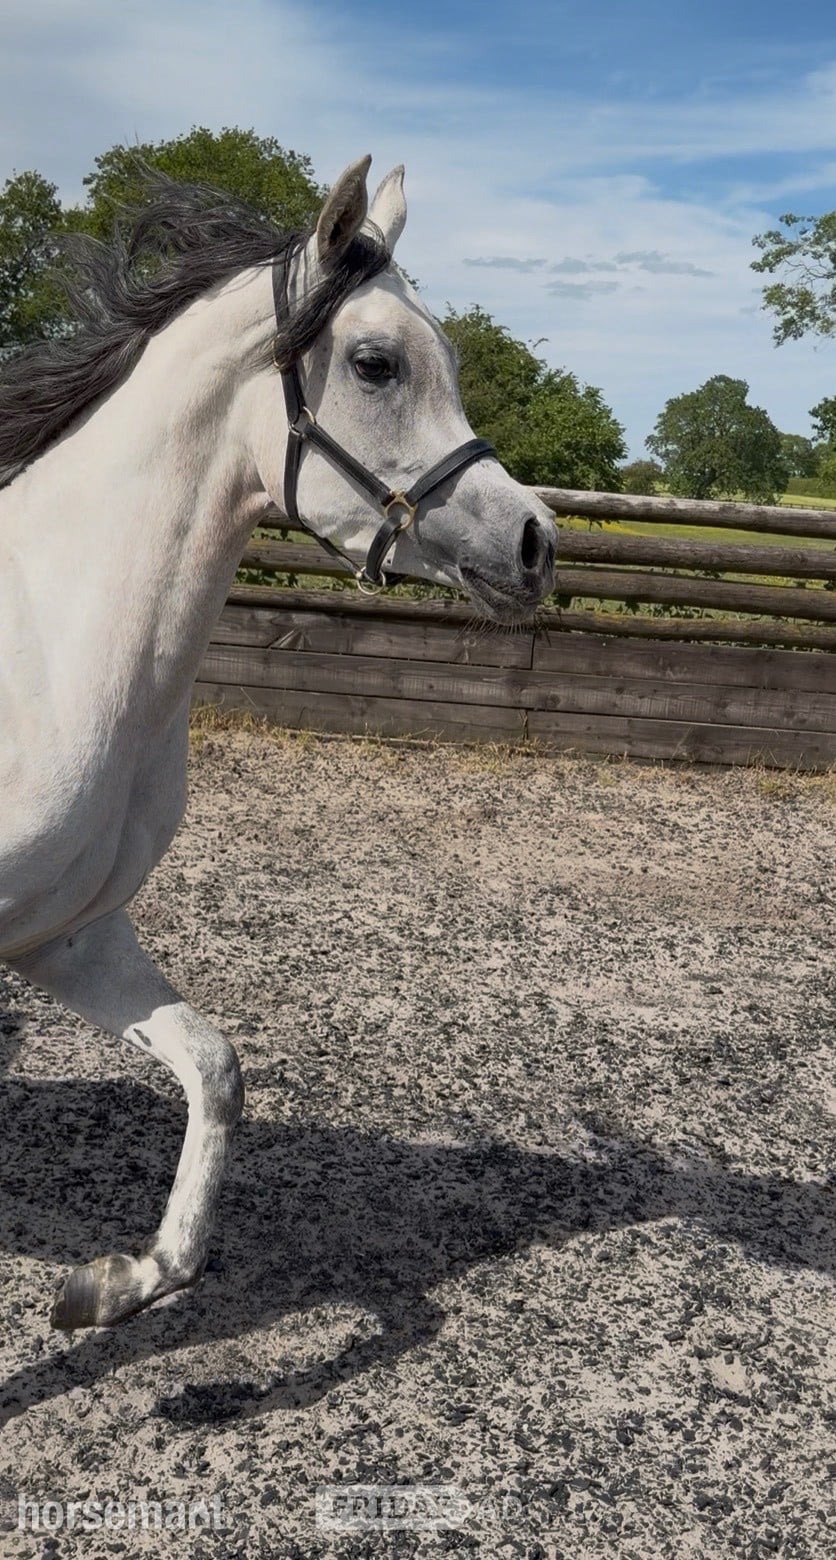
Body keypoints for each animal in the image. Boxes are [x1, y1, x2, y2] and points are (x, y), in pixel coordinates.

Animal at [0, 155, 556, 1331]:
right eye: (376, 363)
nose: (537, 542)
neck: (47, 642)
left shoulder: (66, 935)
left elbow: (216, 1072)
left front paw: (111, 1287)